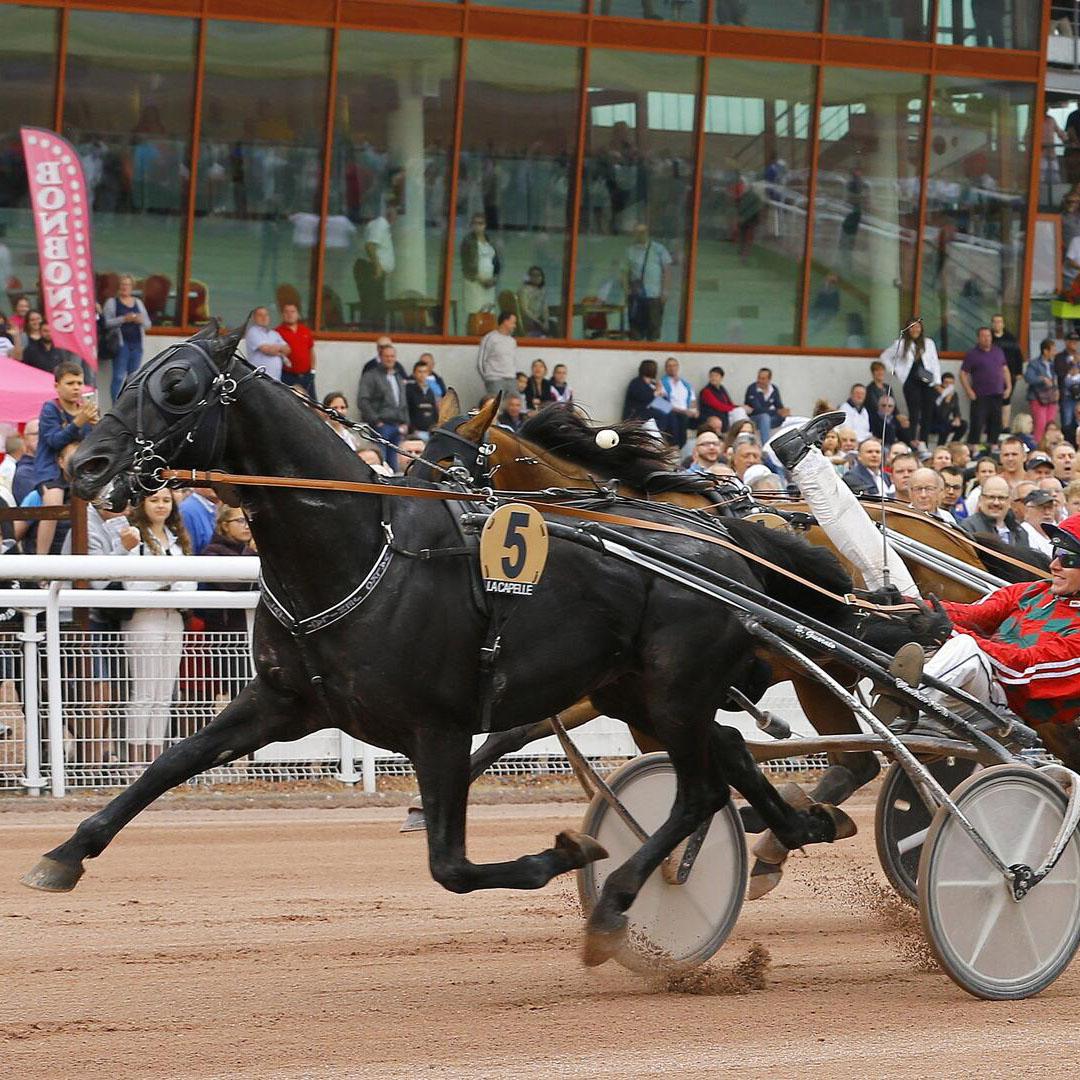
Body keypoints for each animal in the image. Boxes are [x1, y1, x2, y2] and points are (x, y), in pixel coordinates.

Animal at [27, 324, 920, 967]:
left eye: (176, 388)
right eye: (123, 380)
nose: (88, 463)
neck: (362, 548)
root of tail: (728, 548)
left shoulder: (440, 726)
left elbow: (450, 866)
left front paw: (568, 852)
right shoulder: (282, 701)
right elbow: (167, 765)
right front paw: (65, 853)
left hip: (674, 691)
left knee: (709, 787)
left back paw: (619, 900)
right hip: (646, 695)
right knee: (726, 757)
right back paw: (792, 827)